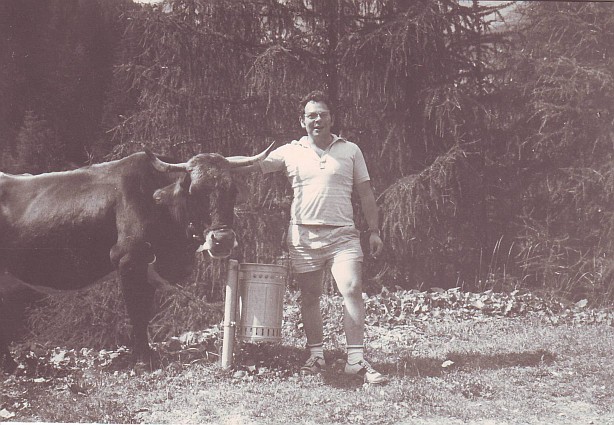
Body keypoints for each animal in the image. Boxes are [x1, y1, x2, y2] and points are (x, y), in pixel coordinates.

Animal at [0, 144, 272, 373]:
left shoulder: (148, 269)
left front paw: (144, 354)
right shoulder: (129, 261)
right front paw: (143, 359)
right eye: (194, 192)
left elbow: (145, 313)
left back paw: (11, 367)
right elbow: (137, 313)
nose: (222, 239)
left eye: (233, 190)